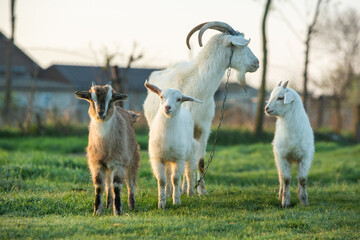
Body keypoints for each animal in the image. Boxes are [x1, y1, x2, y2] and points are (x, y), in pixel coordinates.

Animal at [74, 82, 139, 216]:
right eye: (91, 98)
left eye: (111, 98)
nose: (101, 112)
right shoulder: (96, 163)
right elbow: (99, 186)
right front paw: (97, 211)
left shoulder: (119, 162)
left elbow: (117, 186)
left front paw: (118, 211)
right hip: (108, 166)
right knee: (108, 184)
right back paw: (109, 204)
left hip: (133, 159)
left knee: (130, 182)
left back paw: (132, 205)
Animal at [143, 21, 258, 195]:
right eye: (241, 46)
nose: (257, 63)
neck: (197, 85)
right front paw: (180, 190)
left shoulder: (204, 128)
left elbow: (200, 161)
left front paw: (201, 191)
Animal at [146, 80, 202, 208]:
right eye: (161, 96)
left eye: (179, 99)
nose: (167, 107)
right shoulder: (157, 158)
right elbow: (162, 180)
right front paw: (161, 203)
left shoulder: (179, 158)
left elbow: (175, 179)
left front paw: (176, 201)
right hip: (167, 159)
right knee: (168, 176)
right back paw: (167, 193)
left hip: (190, 154)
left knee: (189, 173)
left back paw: (190, 193)